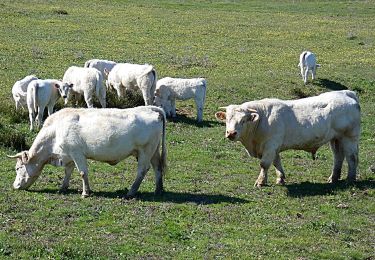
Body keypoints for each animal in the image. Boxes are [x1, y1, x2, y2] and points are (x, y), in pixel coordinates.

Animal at [6, 105, 167, 197]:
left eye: (18, 168)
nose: (14, 186)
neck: (56, 130)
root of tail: (150, 109)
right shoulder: (69, 155)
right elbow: (68, 172)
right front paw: (62, 188)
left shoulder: (77, 153)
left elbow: (82, 172)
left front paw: (85, 192)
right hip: (153, 150)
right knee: (157, 167)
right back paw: (158, 190)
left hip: (145, 150)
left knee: (142, 170)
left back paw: (131, 192)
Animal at [217, 90, 362, 187]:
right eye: (227, 119)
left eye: (243, 120)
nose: (231, 133)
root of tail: (346, 93)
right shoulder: (273, 147)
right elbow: (276, 162)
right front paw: (280, 179)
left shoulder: (270, 145)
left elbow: (264, 164)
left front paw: (260, 182)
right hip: (336, 139)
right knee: (338, 157)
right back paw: (333, 178)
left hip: (349, 137)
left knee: (351, 157)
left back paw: (350, 179)